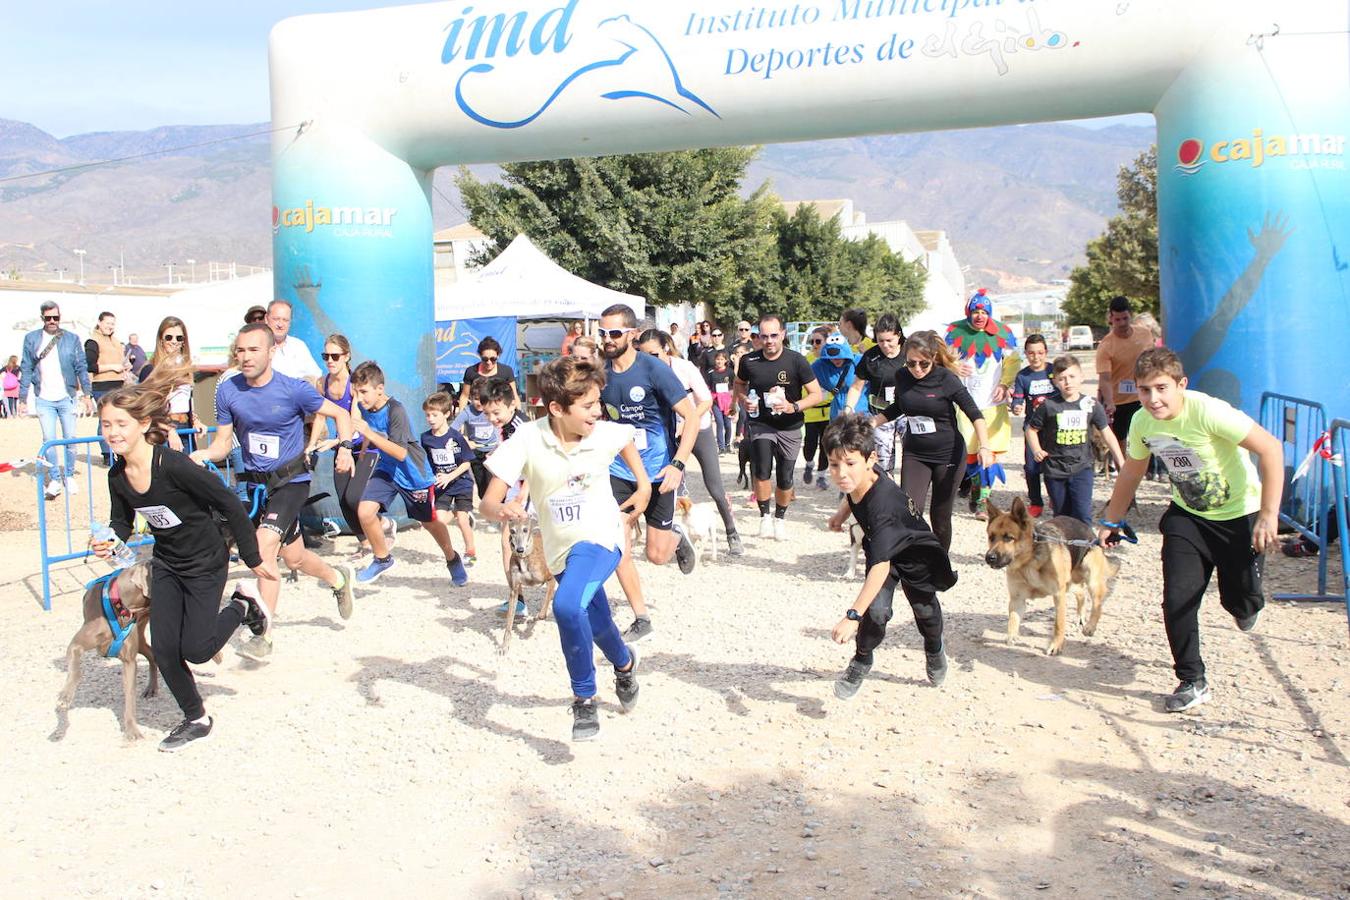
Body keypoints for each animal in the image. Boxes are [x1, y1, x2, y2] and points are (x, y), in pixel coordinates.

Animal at [56, 564, 156, 739]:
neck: (121, 605)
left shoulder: (129, 661)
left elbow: (130, 695)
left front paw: (132, 729)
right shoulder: (76, 645)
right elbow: (76, 669)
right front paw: (65, 697)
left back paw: (151, 688)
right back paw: (151, 688)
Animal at [502, 518, 553, 658]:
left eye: (525, 529)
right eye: (512, 531)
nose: (519, 549)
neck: (525, 558)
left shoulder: (548, 577)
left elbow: (550, 590)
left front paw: (540, 616)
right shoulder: (514, 590)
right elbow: (509, 622)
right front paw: (504, 646)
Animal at [982, 496, 1117, 658]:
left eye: (1008, 538)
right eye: (991, 537)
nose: (989, 558)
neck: (1028, 562)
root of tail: (1090, 533)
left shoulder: (1059, 596)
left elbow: (1059, 624)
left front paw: (1056, 646)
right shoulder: (1017, 599)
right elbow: (1012, 620)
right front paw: (1011, 638)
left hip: (1091, 580)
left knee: (1097, 604)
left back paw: (1090, 626)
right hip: (1071, 582)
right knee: (1081, 593)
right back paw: (1080, 616)